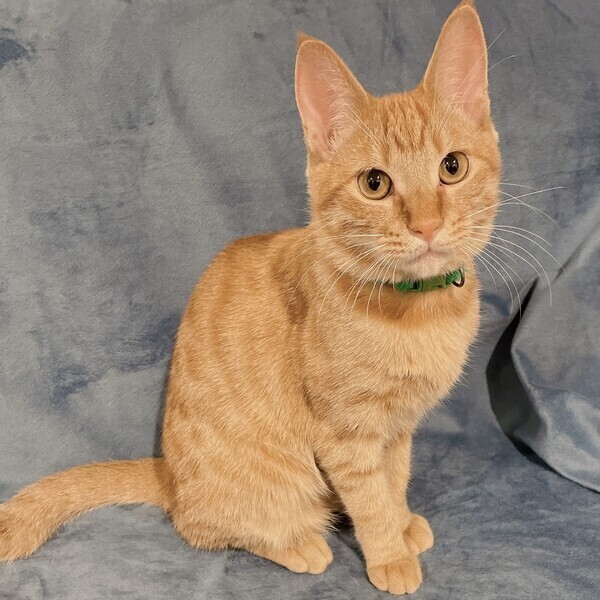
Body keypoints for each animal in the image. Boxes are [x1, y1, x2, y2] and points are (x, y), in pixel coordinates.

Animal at [0, 0, 500, 595]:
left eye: (452, 167)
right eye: (375, 184)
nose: (426, 225)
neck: (418, 312)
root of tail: (169, 472)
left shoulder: (398, 429)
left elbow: (394, 480)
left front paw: (402, 524)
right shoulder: (346, 435)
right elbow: (370, 496)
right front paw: (389, 552)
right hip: (263, 485)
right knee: (203, 526)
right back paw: (301, 544)